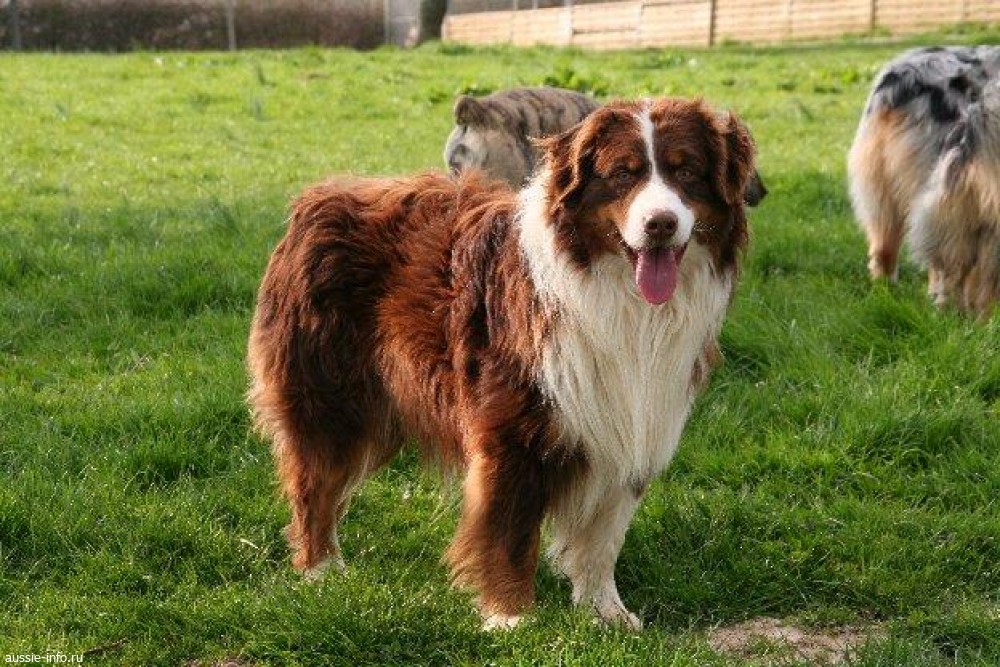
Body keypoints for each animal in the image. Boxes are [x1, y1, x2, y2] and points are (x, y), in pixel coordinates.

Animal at [248, 97, 759, 630]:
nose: (660, 224)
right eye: (624, 173)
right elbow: (510, 530)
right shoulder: (511, 425)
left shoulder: (631, 418)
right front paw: (510, 618)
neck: (620, 298)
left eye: (687, 172)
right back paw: (320, 569)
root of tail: (320, 194)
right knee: (315, 482)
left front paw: (605, 612)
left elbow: (604, 536)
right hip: (329, 393)